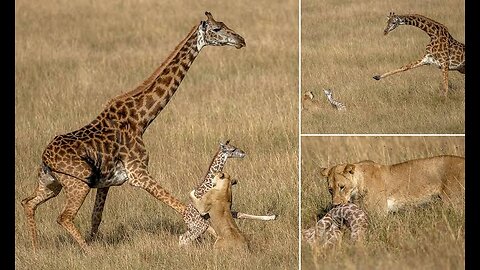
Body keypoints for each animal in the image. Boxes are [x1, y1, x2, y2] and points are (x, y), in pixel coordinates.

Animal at [20, 11, 246, 252]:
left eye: (224, 24)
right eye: (216, 29)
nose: (241, 40)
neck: (140, 119)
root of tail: (45, 157)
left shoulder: (106, 183)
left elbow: (96, 218)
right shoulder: (139, 173)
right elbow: (185, 209)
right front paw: (207, 235)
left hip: (51, 183)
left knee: (28, 202)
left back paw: (35, 248)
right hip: (78, 184)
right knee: (64, 216)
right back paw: (88, 252)